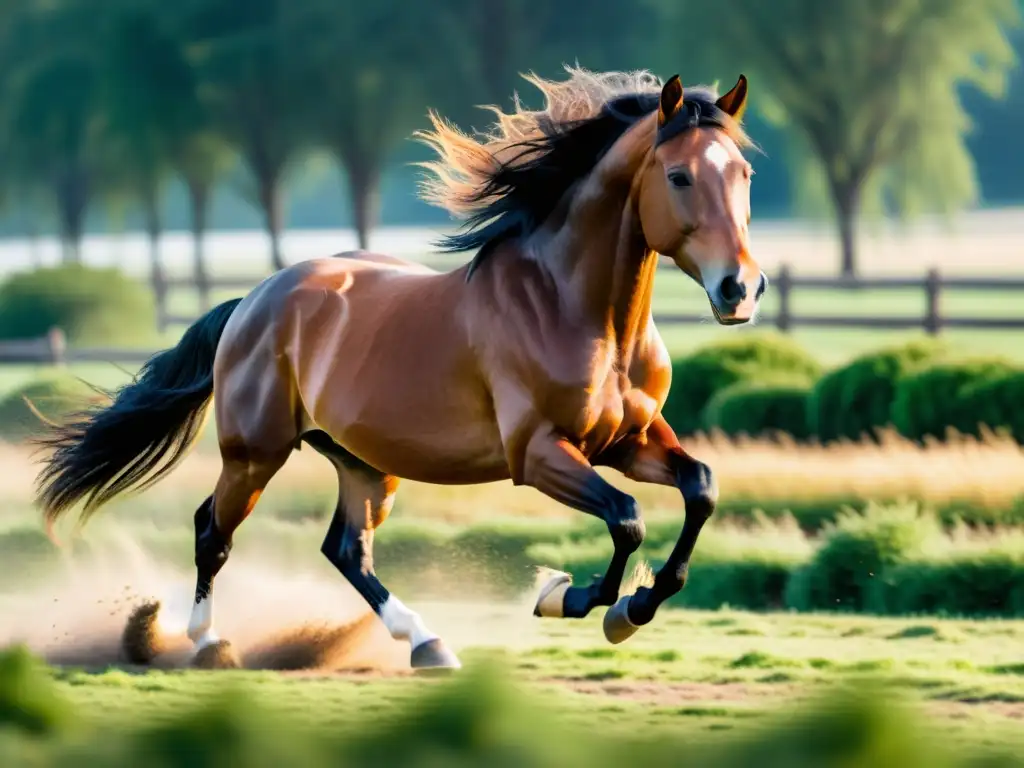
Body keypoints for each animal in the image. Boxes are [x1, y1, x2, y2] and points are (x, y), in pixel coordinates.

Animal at [36, 69, 765, 671]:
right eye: (679, 177)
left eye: (743, 175)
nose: (740, 290)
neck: (578, 311)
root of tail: (253, 299)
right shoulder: (539, 455)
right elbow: (627, 517)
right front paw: (573, 598)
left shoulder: (627, 441)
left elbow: (699, 489)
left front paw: (632, 607)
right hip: (255, 453)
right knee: (212, 532)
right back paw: (210, 644)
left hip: (363, 463)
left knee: (345, 549)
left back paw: (426, 643)